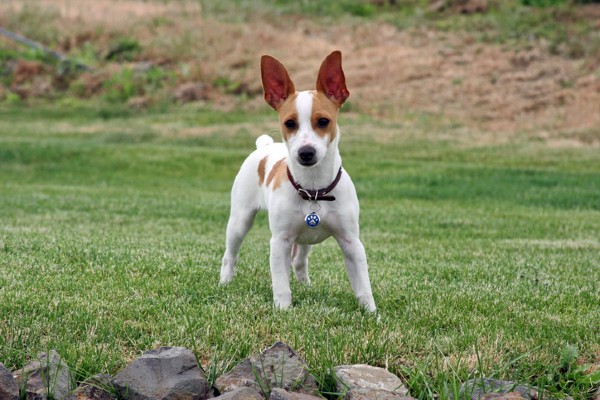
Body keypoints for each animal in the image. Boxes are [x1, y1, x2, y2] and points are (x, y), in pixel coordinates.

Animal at [218, 50, 376, 312]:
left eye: (323, 121)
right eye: (289, 123)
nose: (306, 153)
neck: (314, 189)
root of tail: (264, 146)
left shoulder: (352, 242)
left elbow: (363, 285)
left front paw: (371, 313)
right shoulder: (279, 241)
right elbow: (281, 282)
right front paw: (283, 309)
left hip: (305, 239)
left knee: (299, 261)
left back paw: (305, 285)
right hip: (240, 221)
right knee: (230, 255)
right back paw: (225, 282)